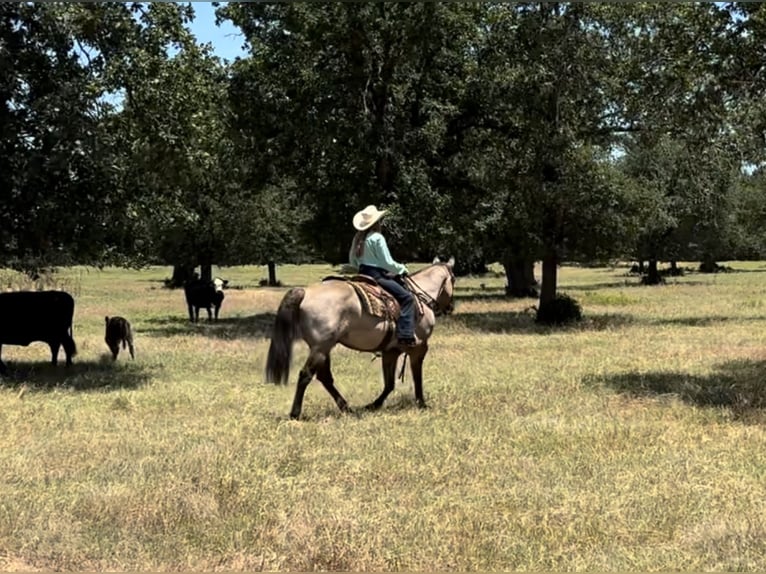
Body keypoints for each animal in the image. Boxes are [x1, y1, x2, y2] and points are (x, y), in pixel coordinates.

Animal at [268, 258, 456, 420]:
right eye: (453, 279)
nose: (450, 308)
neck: (420, 297)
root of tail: (305, 292)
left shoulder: (391, 351)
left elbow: (389, 383)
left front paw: (374, 405)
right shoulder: (419, 348)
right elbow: (417, 377)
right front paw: (421, 403)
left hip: (323, 347)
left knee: (324, 377)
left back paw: (346, 408)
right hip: (321, 347)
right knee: (306, 375)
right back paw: (295, 413)